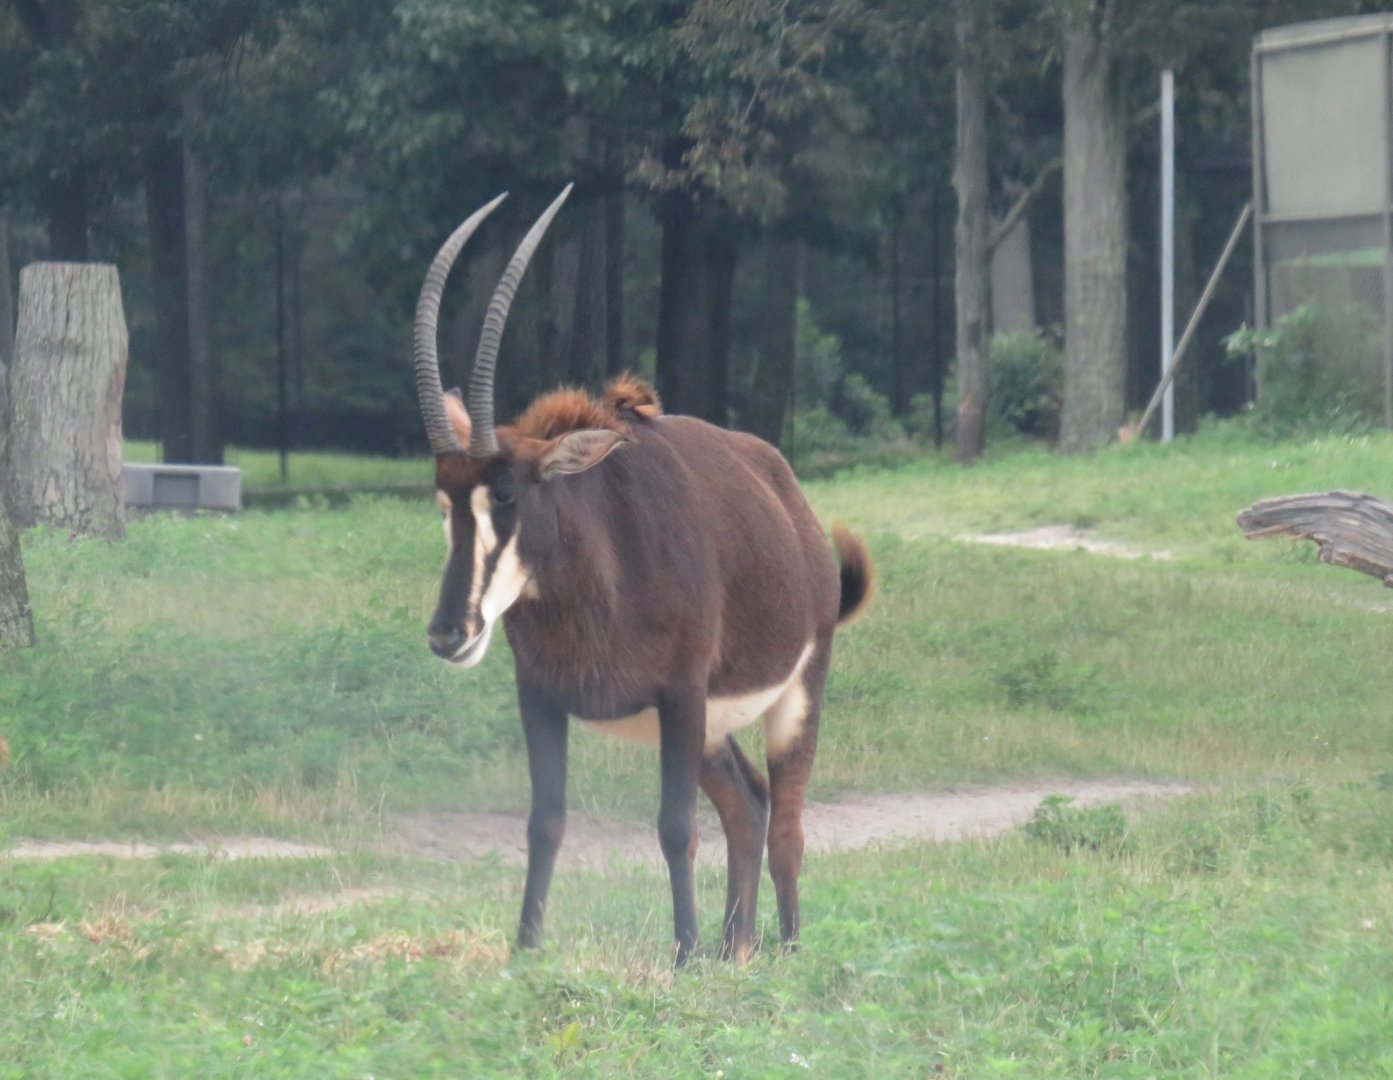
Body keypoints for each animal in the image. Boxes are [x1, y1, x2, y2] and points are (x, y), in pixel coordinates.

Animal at [414, 186, 872, 964]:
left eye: (505, 495)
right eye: (443, 502)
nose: (451, 634)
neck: (603, 572)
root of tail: (791, 502)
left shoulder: (680, 694)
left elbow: (673, 828)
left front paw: (681, 955)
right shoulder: (539, 697)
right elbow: (545, 821)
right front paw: (526, 950)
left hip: (789, 697)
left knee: (785, 822)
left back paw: (783, 951)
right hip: (709, 732)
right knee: (747, 804)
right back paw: (735, 950)